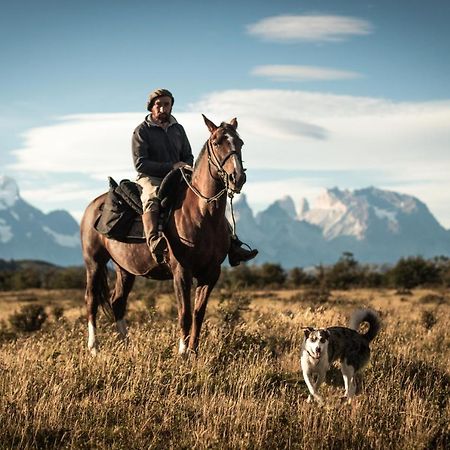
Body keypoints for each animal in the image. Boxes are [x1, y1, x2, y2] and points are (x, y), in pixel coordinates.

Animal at [80, 115, 246, 356]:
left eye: (240, 143)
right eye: (216, 143)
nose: (237, 177)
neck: (203, 215)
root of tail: (93, 205)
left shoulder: (211, 273)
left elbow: (198, 314)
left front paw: (194, 352)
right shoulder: (181, 272)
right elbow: (184, 314)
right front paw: (183, 353)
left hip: (125, 269)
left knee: (117, 301)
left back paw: (126, 345)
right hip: (94, 262)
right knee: (91, 300)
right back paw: (94, 348)